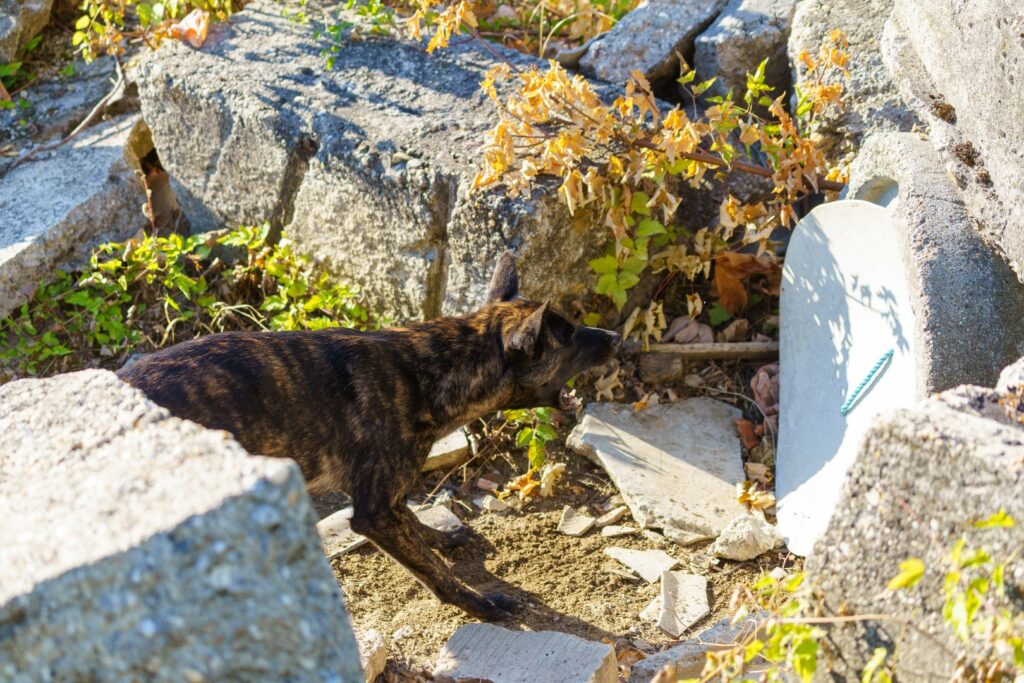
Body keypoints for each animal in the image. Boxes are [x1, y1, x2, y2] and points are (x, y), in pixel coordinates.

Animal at [119, 252, 614, 618]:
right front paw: (479, 603)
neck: (429, 370)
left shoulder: (384, 497)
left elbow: (412, 519)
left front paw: (440, 535)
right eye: (570, 337)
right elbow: (432, 568)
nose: (613, 335)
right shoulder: (373, 513)